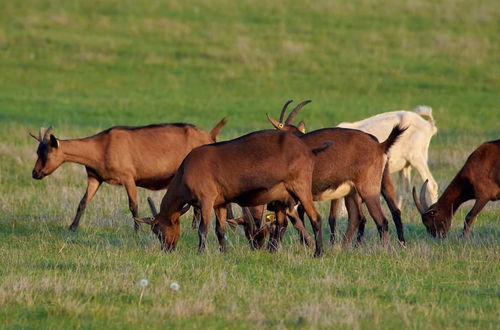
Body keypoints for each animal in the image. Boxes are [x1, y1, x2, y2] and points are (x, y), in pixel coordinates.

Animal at [30, 120, 226, 231]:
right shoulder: (94, 178)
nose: (35, 173)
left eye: (46, 153)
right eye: (37, 151)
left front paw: (137, 230)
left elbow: (133, 205)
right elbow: (82, 203)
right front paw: (72, 227)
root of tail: (209, 136)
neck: (100, 148)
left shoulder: (128, 177)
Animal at [135, 130, 326, 256]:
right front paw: (223, 252)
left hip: (301, 186)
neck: (185, 172)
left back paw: (318, 253)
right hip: (281, 194)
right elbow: (220, 229)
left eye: (157, 230)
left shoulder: (206, 199)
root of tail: (309, 151)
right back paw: (272, 251)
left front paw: (200, 252)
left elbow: (203, 229)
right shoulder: (220, 202)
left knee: (315, 217)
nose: (167, 249)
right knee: (281, 223)